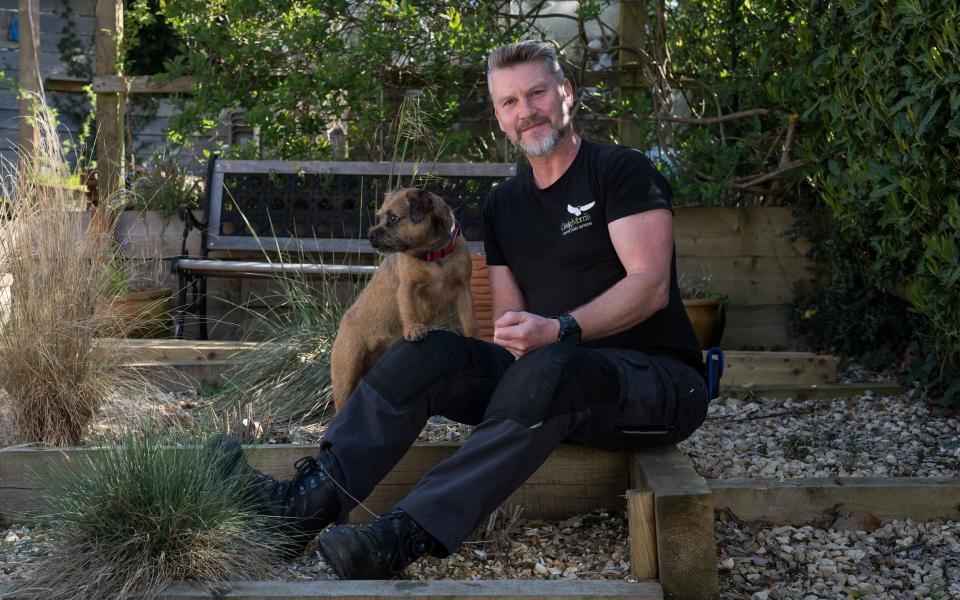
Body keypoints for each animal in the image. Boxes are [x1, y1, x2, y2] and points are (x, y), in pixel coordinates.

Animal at [330, 189, 480, 412]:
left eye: (393, 218)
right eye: (380, 217)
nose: (370, 234)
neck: (433, 253)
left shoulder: (463, 289)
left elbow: (470, 319)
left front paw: (476, 338)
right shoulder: (407, 288)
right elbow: (409, 309)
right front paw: (414, 330)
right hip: (346, 376)